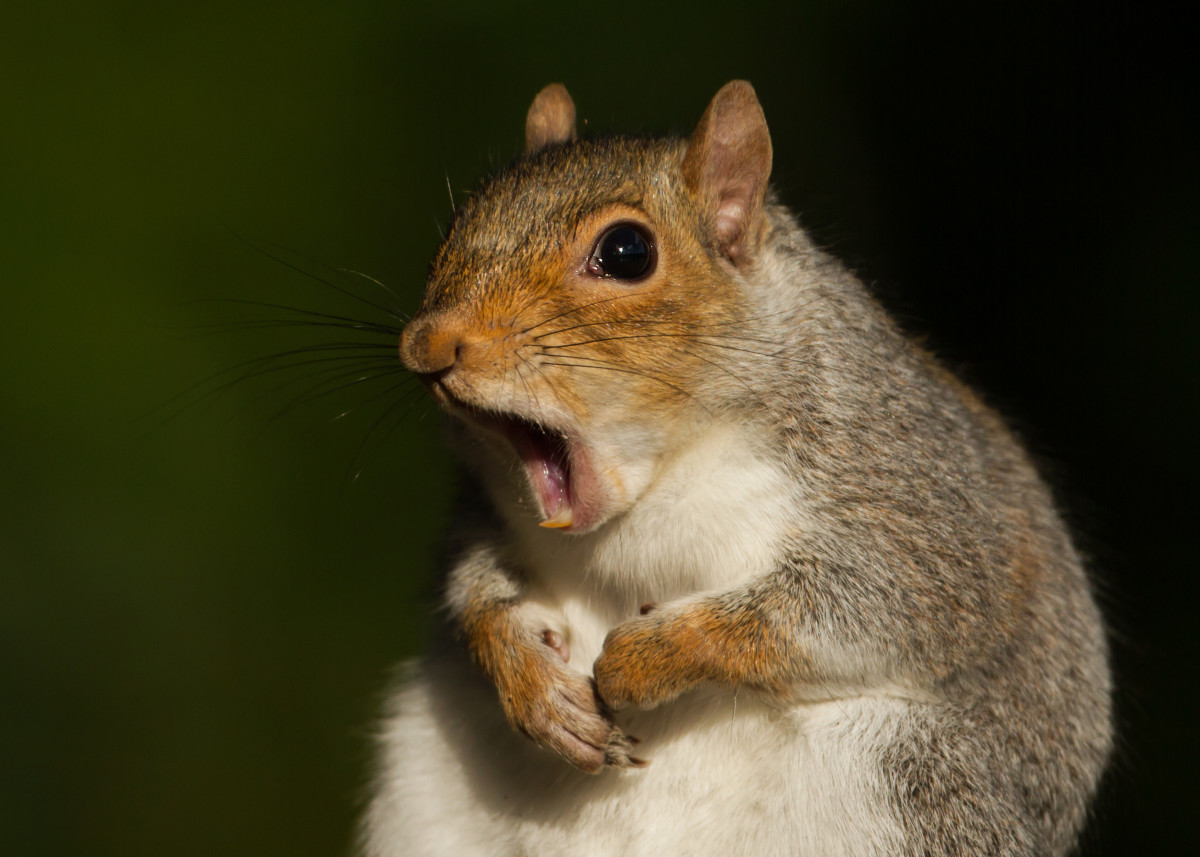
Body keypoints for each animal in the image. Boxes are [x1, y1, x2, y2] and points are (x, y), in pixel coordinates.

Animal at [357, 80, 1113, 854]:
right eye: (459, 221)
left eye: (627, 251)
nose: (427, 344)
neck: (658, 482)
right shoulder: (485, 511)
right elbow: (475, 586)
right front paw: (531, 681)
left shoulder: (912, 497)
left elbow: (864, 606)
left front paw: (648, 656)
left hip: (917, 782)